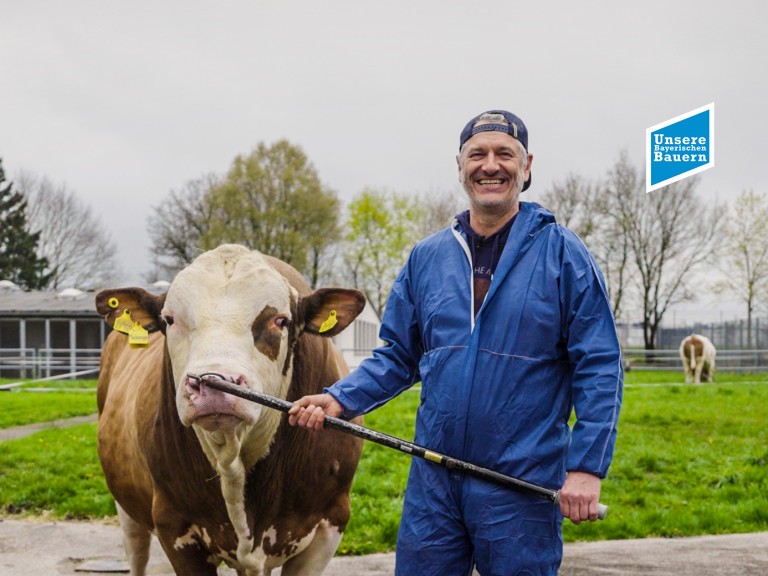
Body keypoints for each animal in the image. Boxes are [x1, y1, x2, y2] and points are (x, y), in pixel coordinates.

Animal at [95, 244, 366, 576]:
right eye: (169, 319)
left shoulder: (331, 521)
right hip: (127, 506)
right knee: (137, 553)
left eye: (280, 320)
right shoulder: (174, 524)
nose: (213, 382)